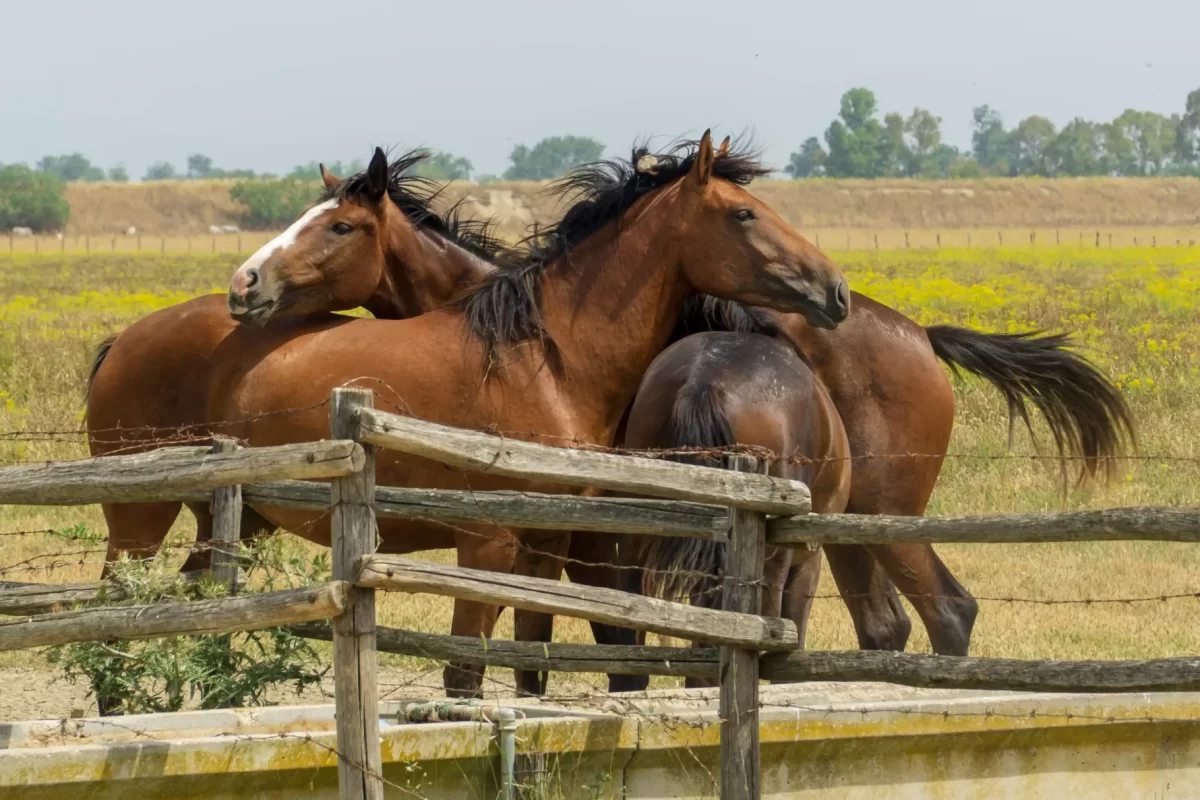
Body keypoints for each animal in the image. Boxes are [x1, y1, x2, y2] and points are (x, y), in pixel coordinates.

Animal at [201, 131, 849, 697]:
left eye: (340, 225)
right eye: (744, 214)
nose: (834, 288)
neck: (542, 360)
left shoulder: (546, 544)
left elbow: (532, 667)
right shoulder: (493, 545)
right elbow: (473, 673)